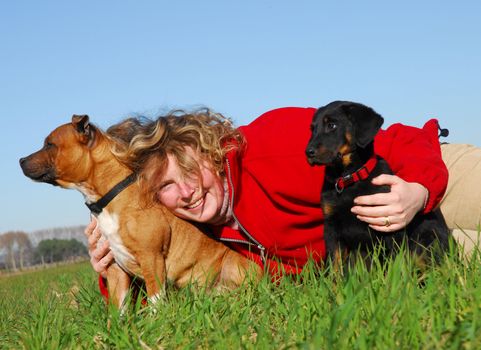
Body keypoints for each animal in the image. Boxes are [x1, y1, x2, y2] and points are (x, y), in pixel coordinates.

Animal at [18, 115, 260, 308]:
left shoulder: (151, 258)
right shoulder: (115, 269)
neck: (109, 197)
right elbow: (117, 309)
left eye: (50, 144)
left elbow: (155, 299)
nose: (20, 160)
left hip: (235, 265)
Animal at [306, 100, 448, 266]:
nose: (308, 152)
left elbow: (394, 261)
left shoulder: (390, 225)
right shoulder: (331, 226)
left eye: (332, 125)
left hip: (427, 238)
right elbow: (335, 263)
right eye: (312, 128)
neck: (348, 178)